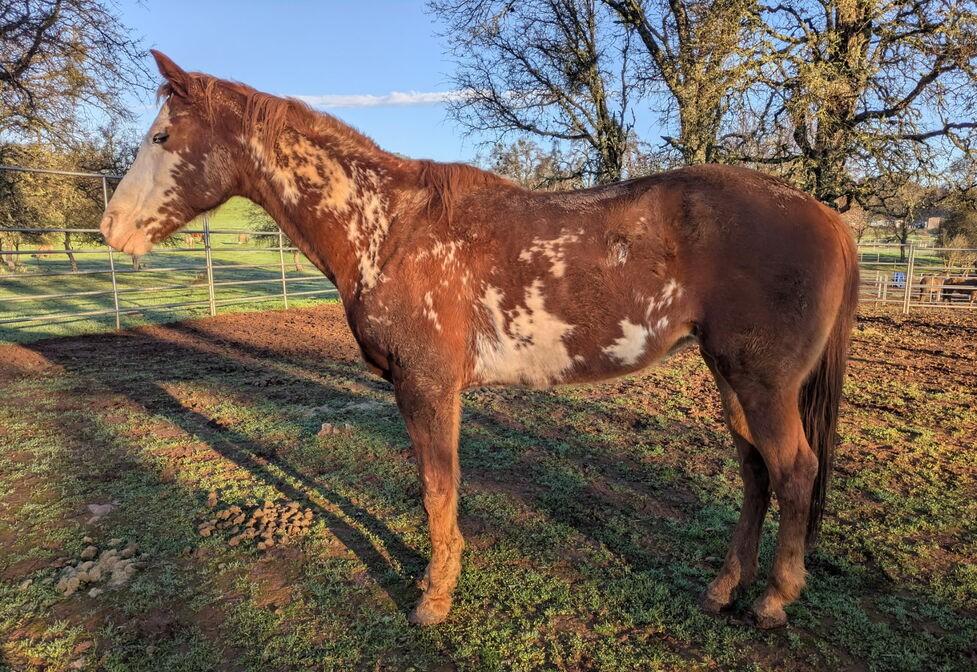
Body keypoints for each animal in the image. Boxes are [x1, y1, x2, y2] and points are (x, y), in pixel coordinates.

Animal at [100, 51, 859, 629]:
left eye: (161, 138)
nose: (111, 229)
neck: (389, 228)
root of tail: (825, 216)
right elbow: (439, 488)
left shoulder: (427, 386)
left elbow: (437, 488)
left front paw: (433, 597)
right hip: (732, 377)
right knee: (756, 471)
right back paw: (724, 588)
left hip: (762, 383)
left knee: (794, 470)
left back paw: (772, 601)